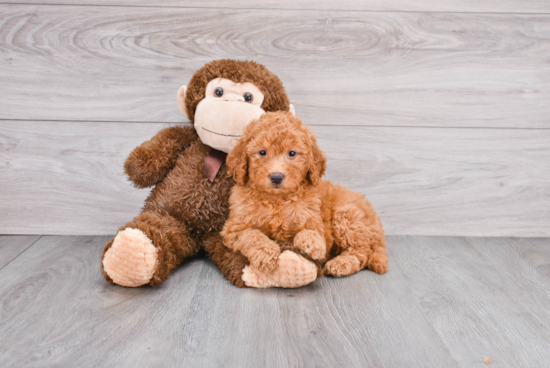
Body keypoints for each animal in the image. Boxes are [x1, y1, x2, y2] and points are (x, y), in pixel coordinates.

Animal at [222, 110, 390, 280]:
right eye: (262, 152)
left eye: (292, 153)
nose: (276, 177)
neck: (277, 200)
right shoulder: (234, 228)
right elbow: (251, 235)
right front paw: (266, 254)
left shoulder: (315, 221)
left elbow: (312, 231)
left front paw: (312, 243)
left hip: (347, 216)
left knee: (361, 253)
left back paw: (340, 264)